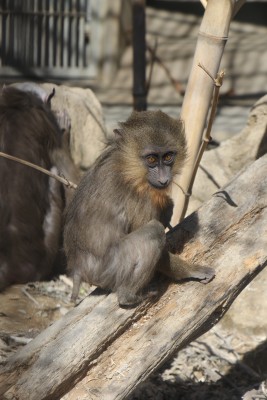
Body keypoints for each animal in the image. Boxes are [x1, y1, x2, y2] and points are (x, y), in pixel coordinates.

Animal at [63, 109, 216, 306]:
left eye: (168, 157)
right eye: (151, 158)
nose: (164, 179)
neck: (126, 165)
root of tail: (78, 269)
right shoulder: (139, 197)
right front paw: (191, 271)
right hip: (112, 268)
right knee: (154, 231)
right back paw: (128, 297)